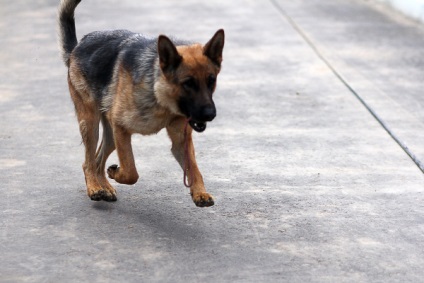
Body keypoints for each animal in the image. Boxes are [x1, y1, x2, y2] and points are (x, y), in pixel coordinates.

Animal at [59, 0, 227, 209]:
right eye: (188, 83)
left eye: (211, 81)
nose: (210, 114)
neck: (160, 98)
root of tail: (78, 46)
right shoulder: (121, 129)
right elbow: (131, 171)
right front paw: (116, 173)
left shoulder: (181, 141)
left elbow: (194, 169)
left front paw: (200, 192)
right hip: (91, 124)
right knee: (88, 162)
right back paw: (95, 188)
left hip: (110, 134)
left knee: (97, 161)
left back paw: (104, 187)